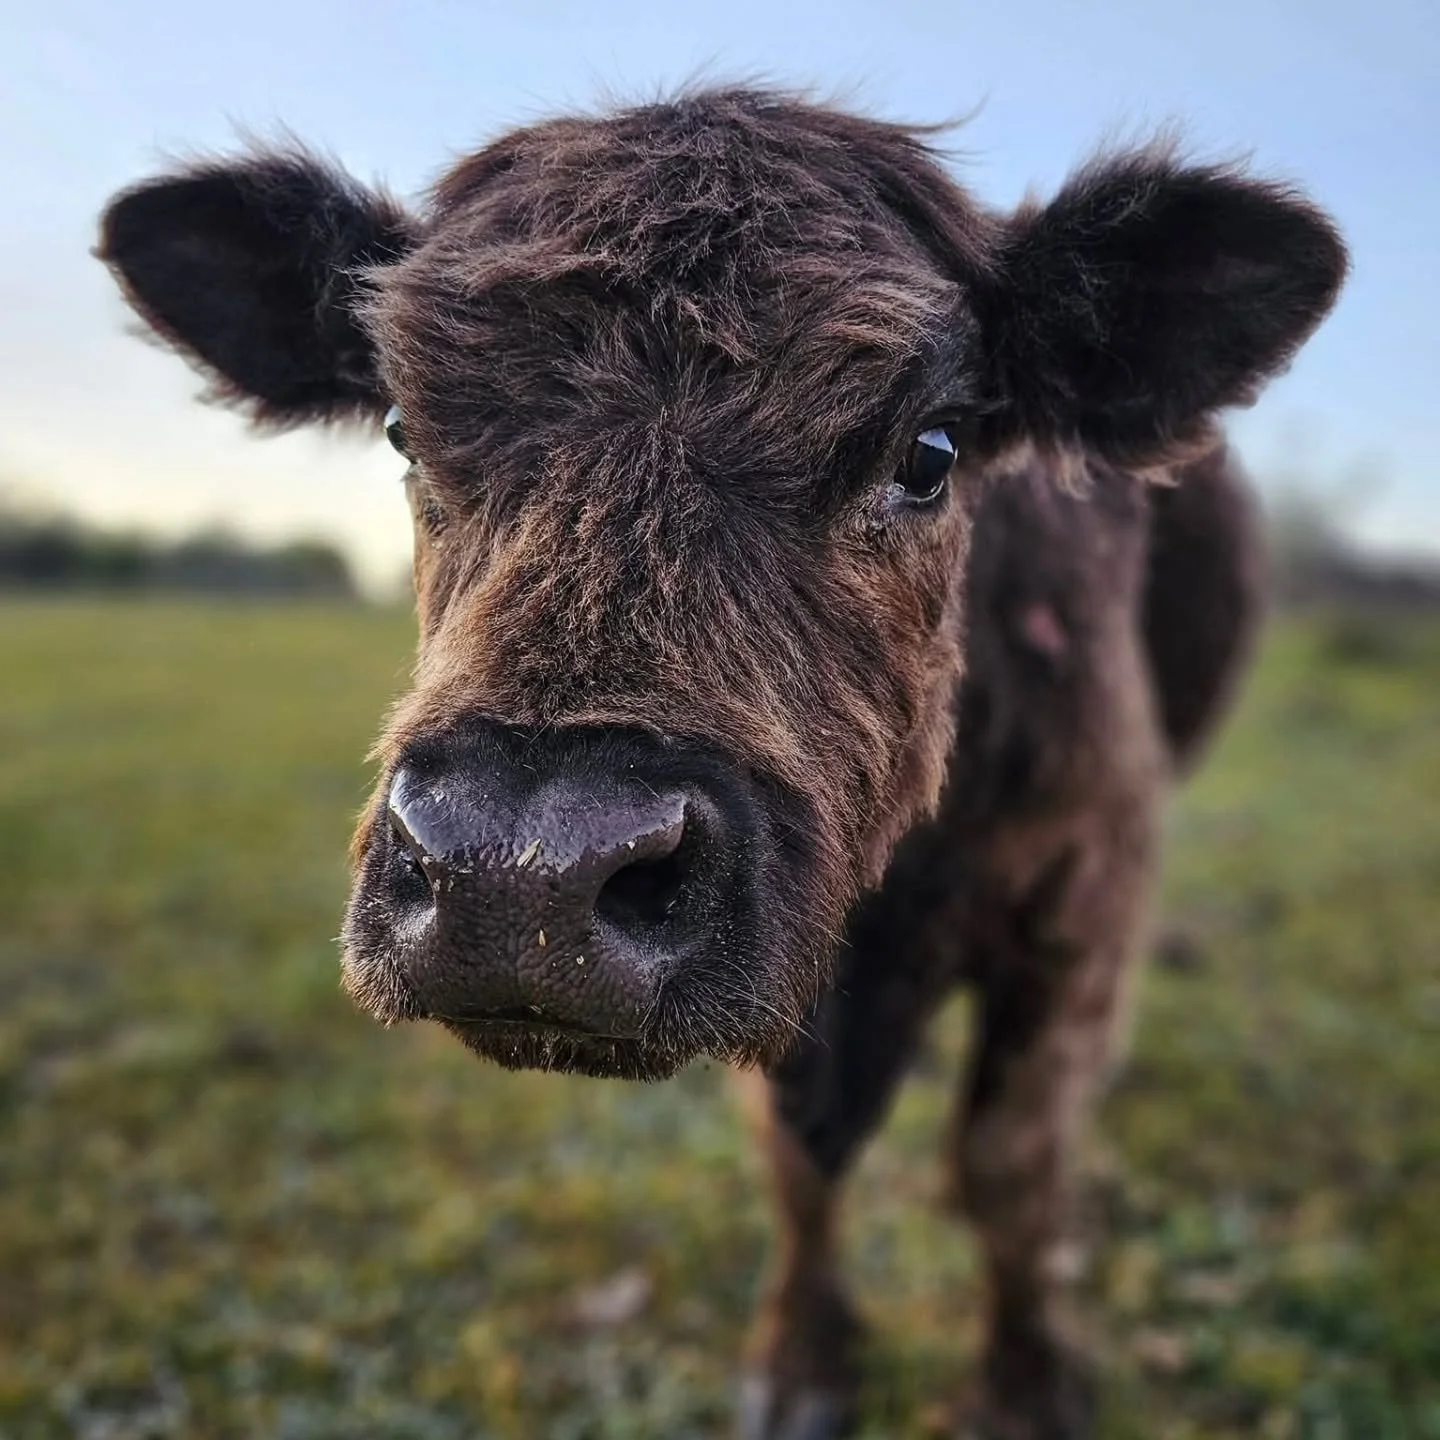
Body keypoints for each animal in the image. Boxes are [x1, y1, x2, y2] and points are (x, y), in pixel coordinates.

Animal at [97, 85, 1345, 1439]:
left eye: (931, 450)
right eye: (400, 430)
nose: (520, 881)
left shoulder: (1082, 907)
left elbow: (1008, 1165)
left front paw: (1023, 1388)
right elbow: (801, 1161)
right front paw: (800, 1364)